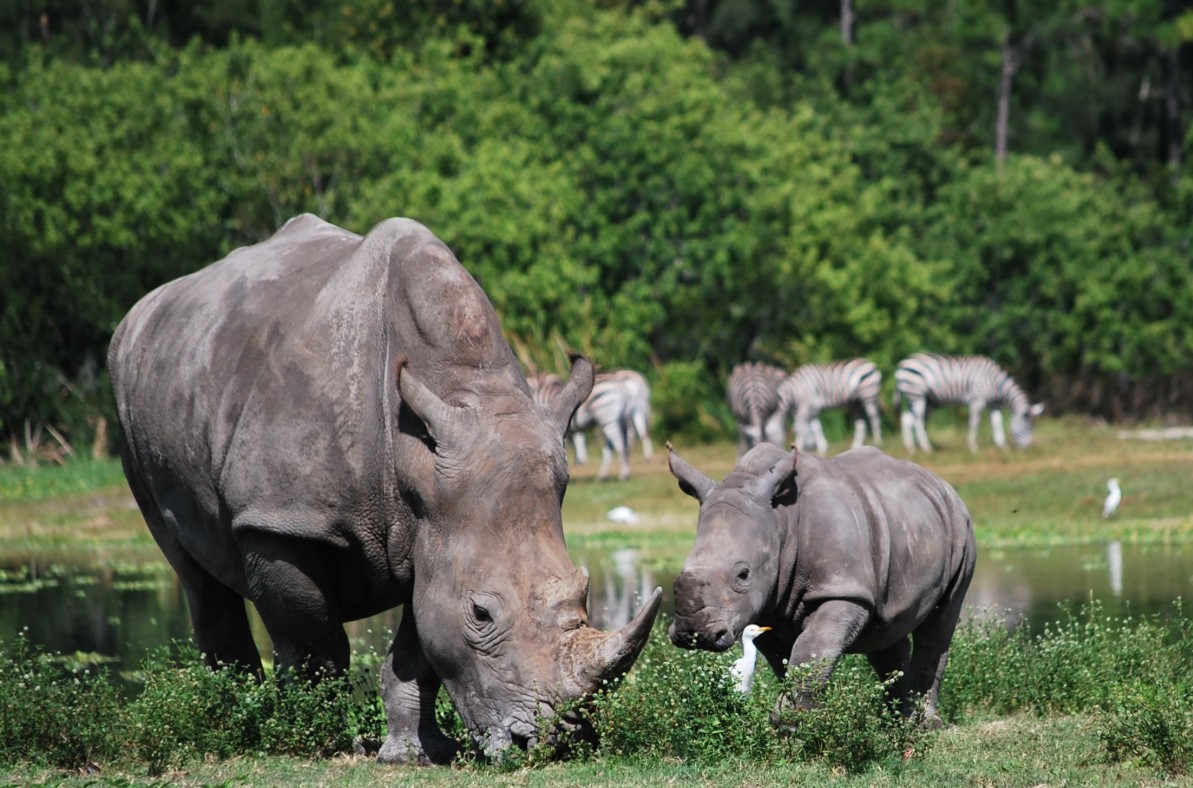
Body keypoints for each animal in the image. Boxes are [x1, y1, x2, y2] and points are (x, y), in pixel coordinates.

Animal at [108, 214, 662, 763]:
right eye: (481, 614)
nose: (554, 743)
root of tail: (141, 313)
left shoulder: (438, 527)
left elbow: (419, 644)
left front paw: (415, 753)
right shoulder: (281, 518)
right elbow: (314, 642)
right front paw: (319, 741)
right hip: (130, 396)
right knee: (192, 569)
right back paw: (236, 723)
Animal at [666, 442, 975, 724]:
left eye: (743, 575)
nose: (693, 633)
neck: (780, 521)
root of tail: (941, 483)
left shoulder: (841, 589)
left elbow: (811, 648)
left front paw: (795, 723)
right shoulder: (765, 607)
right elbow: (786, 660)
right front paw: (790, 719)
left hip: (961, 525)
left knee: (940, 622)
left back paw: (922, 725)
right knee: (886, 629)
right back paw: (895, 720)